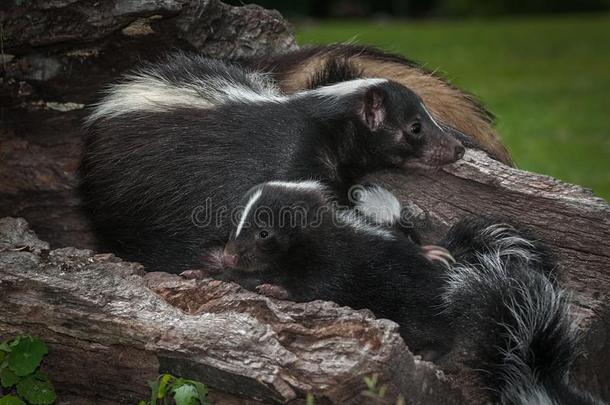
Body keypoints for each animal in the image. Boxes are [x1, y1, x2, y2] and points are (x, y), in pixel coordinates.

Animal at [79, 52, 460, 272]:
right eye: (415, 127)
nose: (457, 148)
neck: (328, 128)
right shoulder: (289, 160)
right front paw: (427, 252)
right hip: (134, 193)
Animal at [213, 181, 600, 402]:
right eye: (237, 224)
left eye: (264, 233)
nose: (230, 253)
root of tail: (460, 267)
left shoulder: (337, 262)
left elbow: (322, 287)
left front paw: (276, 289)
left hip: (424, 304)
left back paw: (428, 351)